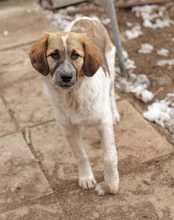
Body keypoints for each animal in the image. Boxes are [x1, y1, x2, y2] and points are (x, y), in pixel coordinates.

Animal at [29, 17, 120, 194]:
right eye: (54, 55)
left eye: (75, 55)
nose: (66, 76)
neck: (73, 95)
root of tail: (87, 18)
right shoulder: (68, 128)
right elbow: (80, 155)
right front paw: (86, 178)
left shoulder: (103, 123)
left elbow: (109, 156)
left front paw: (112, 183)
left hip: (111, 67)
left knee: (111, 93)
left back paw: (115, 114)